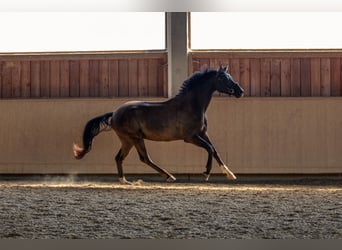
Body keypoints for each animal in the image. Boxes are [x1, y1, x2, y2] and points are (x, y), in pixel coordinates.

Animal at [73, 65, 243, 185]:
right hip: (134, 138)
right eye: (223, 78)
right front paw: (206, 173)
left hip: (128, 140)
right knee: (143, 158)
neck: (192, 105)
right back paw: (168, 176)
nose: (240, 91)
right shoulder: (190, 137)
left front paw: (229, 174)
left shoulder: (202, 133)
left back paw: (125, 180)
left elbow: (214, 150)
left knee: (120, 158)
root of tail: (114, 113)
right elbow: (209, 148)